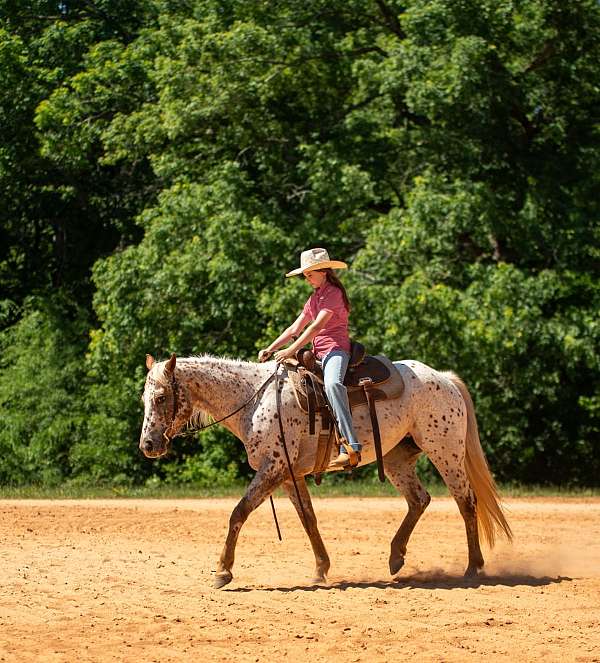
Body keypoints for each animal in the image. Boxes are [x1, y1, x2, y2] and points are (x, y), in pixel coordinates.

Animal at [139, 353, 512, 589]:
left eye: (160, 397)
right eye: (144, 398)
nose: (148, 444)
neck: (254, 399)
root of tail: (444, 379)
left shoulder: (272, 468)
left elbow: (238, 513)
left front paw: (222, 571)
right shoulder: (288, 475)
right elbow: (308, 518)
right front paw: (321, 568)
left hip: (446, 452)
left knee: (466, 503)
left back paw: (473, 567)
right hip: (397, 459)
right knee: (419, 499)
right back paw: (395, 557)